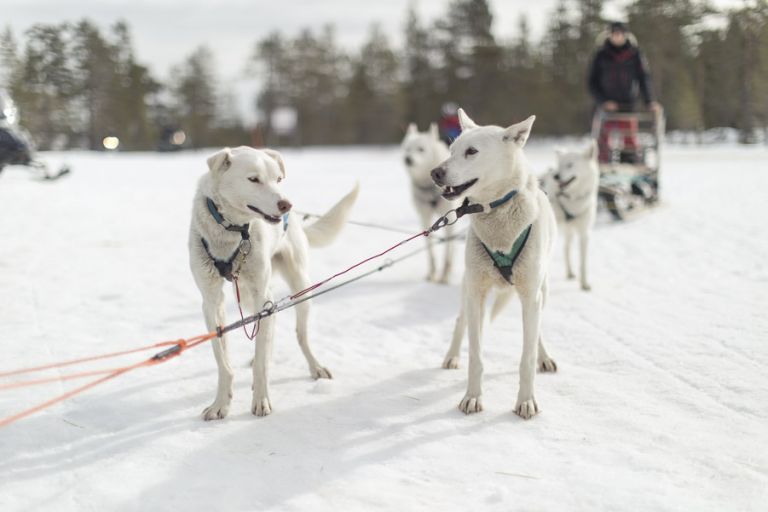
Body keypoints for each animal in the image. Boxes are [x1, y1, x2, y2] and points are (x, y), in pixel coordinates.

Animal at [190, 146, 362, 418]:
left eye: (278, 179)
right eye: (254, 179)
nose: (286, 204)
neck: (233, 232)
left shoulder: (263, 297)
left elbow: (261, 363)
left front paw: (261, 400)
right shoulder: (211, 302)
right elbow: (223, 360)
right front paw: (220, 404)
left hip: (299, 289)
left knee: (300, 336)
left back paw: (315, 366)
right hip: (250, 296)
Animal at [402, 124, 456, 284]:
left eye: (421, 149)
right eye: (407, 149)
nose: (408, 159)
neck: (429, 188)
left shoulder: (450, 219)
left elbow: (447, 252)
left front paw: (444, 276)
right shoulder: (424, 218)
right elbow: (430, 250)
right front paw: (432, 274)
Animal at [432, 110, 560, 418]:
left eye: (471, 151)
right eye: (451, 150)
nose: (435, 173)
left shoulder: (531, 295)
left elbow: (526, 357)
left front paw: (525, 400)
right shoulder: (476, 293)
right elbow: (475, 355)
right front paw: (472, 397)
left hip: (542, 290)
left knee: (536, 330)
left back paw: (544, 356)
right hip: (469, 289)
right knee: (462, 322)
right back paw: (452, 355)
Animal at [544, 142, 600, 290]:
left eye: (570, 165)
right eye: (560, 165)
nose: (556, 176)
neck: (572, 200)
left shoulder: (584, 234)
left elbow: (583, 263)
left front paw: (584, 284)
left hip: (570, 232)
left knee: (566, 249)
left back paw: (569, 272)